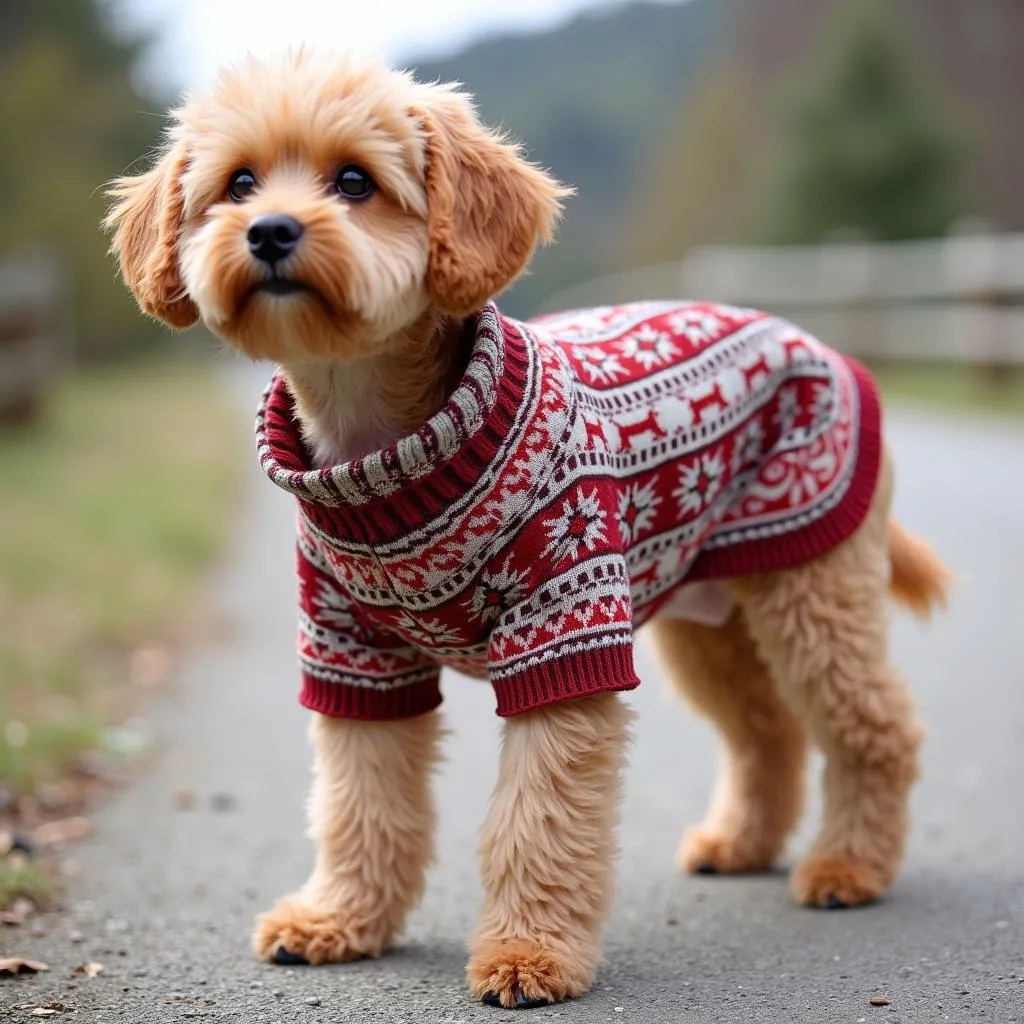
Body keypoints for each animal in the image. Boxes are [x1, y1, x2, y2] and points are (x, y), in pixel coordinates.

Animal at [105, 48, 950, 1007]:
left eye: (355, 181)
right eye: (239, 183)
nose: (271, 230)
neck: (382, 444)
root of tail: (828, 349)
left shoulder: (564, 630)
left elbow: (537, 819)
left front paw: (528, 954)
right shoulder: (355, 654)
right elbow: (361, 802)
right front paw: (340, 919)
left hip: (813, 591)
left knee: (875, 727)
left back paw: (851, 867)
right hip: (711, 625)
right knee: (766, 731)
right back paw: (742, 844)